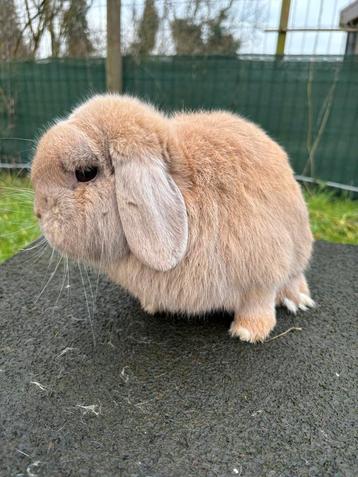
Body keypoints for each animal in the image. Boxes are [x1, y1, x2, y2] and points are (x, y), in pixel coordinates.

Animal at [32, 93, 314, 340]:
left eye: (85, 173)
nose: (38, 213)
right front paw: (151, 306)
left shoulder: (263, 270)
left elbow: (259, 303)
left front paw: (248, 332)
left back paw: (297, 300)